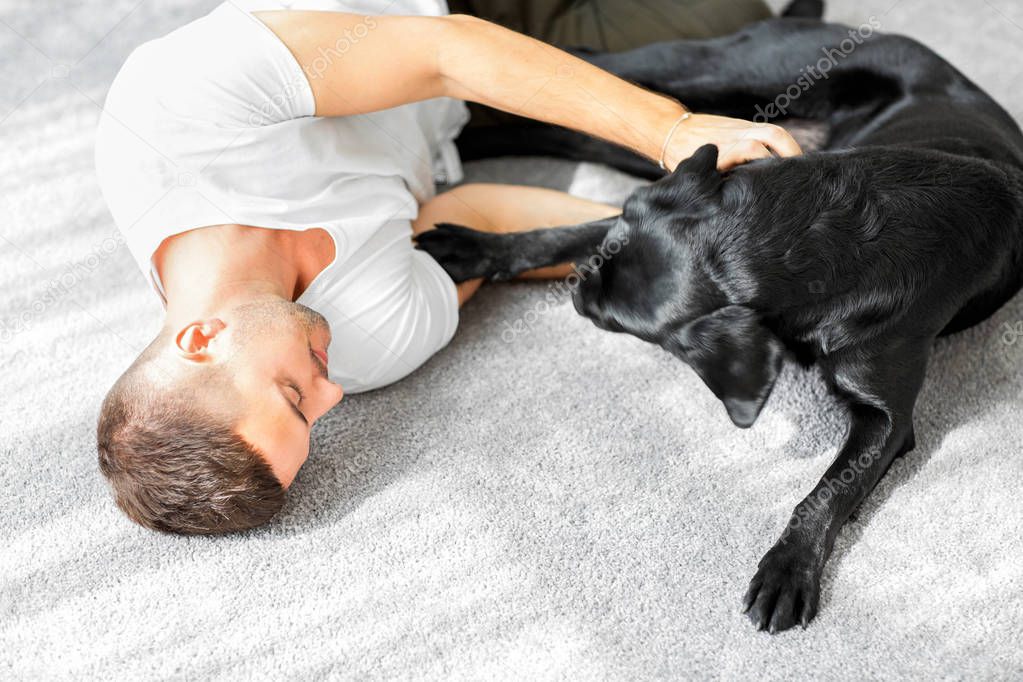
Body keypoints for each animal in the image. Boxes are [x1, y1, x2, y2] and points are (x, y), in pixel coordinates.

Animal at [415, 6, 1023, 633]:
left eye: (614, 322)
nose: (578, 297)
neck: (817, 232)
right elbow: (561, 234)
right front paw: (476, 249)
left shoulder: (886, 419)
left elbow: (829, 489)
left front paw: (789, 567)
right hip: (710, 75)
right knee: (589, 70)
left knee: (567, 130)